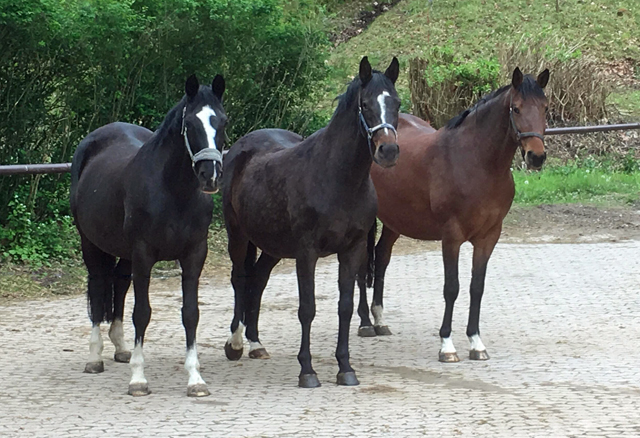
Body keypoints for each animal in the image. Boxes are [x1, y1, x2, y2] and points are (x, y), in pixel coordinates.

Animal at [70, 73, 228, 396]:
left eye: (223, 121)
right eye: (191, 123)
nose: (210, 176)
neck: (173, 192)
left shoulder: (194, 255)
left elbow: (190, 313)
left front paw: (195, 379)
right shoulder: (143, 255)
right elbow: (142, 313)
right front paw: (138, 379)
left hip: (124, 253)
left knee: (118, 284)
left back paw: (120, 349)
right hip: (90, 244)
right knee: (97, 287)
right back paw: (95, 358)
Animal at [221, 57, 400, 386]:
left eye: (396, 102)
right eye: (365, 104)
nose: (389, 151)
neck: (337, 179)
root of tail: (240, 148)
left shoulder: (352, 249)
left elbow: (345, 307)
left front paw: (345, 368)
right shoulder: (307, 253)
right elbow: (307, 309)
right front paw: (307, 370)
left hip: (273, 246)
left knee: (258, 279)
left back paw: (256, 343)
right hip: (238, 235)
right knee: (240, 279)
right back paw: (236, 344)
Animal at [356, 68, 552, 362]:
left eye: (544, 108)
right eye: (516, 108)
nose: (536, 156)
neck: (477, 162)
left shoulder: (488, 237)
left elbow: (476, 287)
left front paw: (476, 343)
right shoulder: (451, 237)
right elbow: (452, 288)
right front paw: (447, 345)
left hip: (395, 222)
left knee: (381, 257)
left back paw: (380, 321)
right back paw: (366, 324)